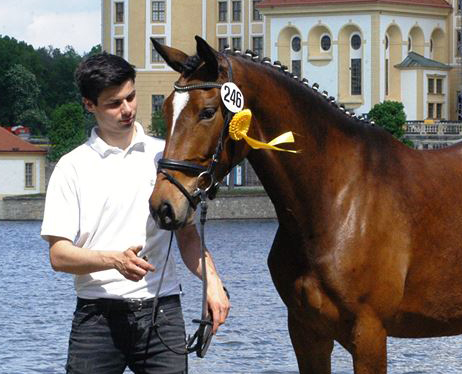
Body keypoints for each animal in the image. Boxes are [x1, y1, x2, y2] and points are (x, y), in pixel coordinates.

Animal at [149, 35, 462, 374]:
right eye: (166, 108)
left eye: (207, 112)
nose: (162, 205)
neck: (338, 199)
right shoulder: (306, 332)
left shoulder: (370, 333)